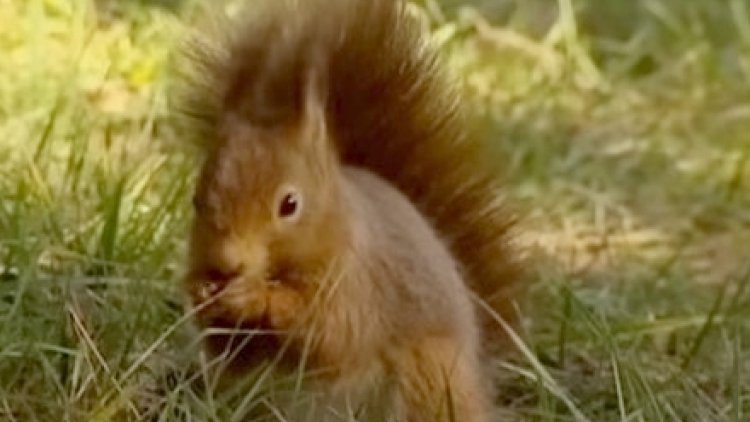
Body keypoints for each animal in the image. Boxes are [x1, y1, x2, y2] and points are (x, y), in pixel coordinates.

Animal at [175, 0, 523, 420]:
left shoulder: (357, 285)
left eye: (289, 204)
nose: (227, 263)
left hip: (429, 375)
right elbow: (230, 351)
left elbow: (331, 334)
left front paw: (253, 296)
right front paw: (202, 293)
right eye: (195, 199)